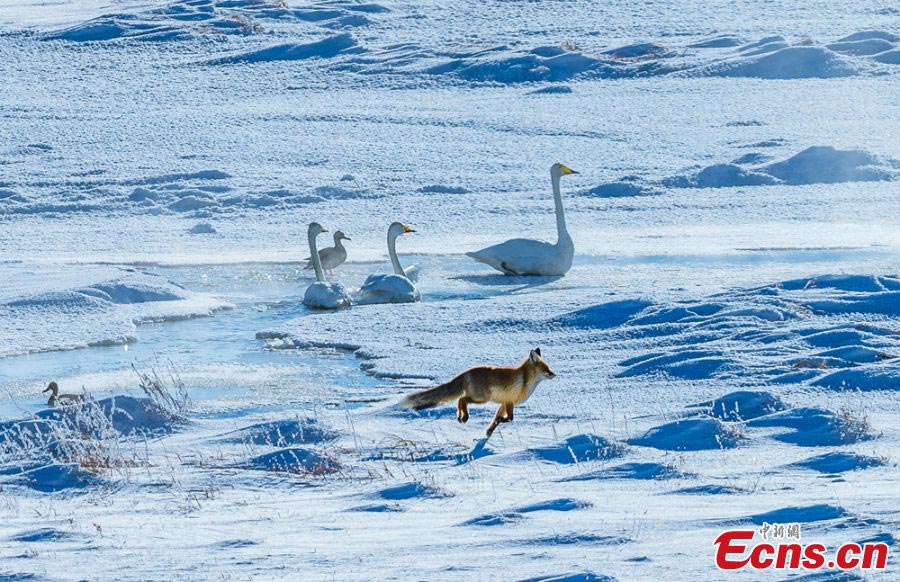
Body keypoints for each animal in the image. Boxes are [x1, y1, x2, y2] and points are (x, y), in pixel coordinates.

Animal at [400, 350, 556, 436]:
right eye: (546, 369)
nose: (554, 374)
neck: (525, 380)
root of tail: (466, 372)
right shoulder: (510, 401)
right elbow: (510, 419)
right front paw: (498, 423)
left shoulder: (505, 403)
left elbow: (497, 419)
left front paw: (489, 432)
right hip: (482, 398)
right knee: (462, 399)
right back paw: (464, 417)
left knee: (460, 400)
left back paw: (460, 417)